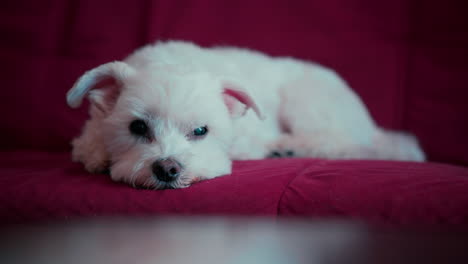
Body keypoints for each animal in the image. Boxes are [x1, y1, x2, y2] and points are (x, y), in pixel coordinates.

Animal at [67, 40, 426, 190]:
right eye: (138, 126)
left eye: (201, 131)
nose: (167, 169)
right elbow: (89, 143)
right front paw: (99, 154)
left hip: (307, 102)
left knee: (340, 143)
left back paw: (289, 147)